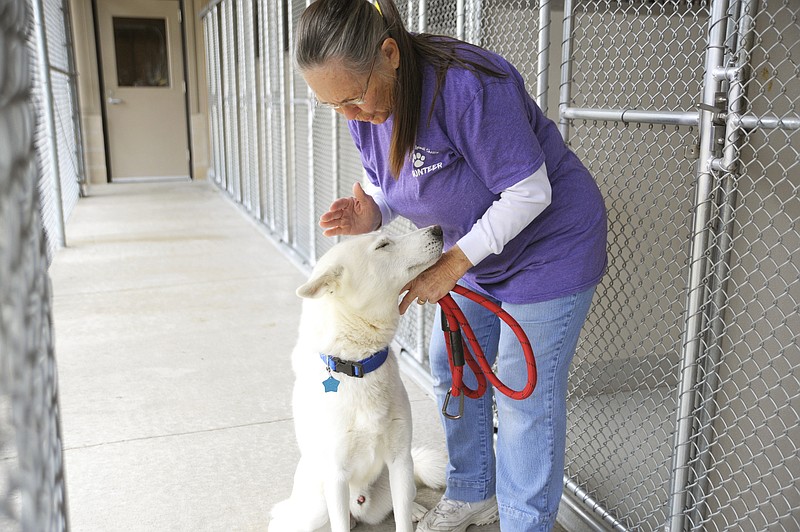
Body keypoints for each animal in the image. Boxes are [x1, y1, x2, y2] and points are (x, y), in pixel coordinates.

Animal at [268, 225, 444, 532]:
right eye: (383, 245)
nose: (437, 228)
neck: (359, 365)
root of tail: (359, 509)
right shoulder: (336, 476)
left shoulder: (400, 460)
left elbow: (402, 521)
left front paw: (409, 515)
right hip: (317, 506)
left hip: (395, 481)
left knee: (401, 501)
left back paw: (414, 509)